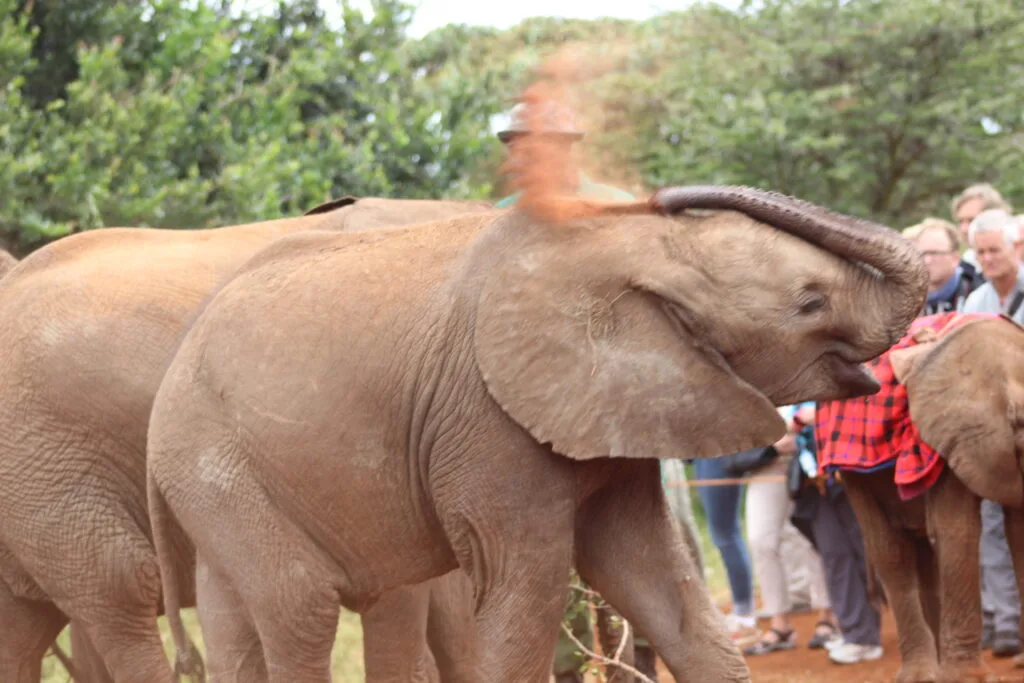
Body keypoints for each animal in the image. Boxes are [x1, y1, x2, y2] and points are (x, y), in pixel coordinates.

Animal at [145, 185, 929, 683]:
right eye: (810, 302)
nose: (671, 194)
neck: (630, 253)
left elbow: (652, 574)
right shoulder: (489, 421)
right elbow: (525, 591)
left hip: (215, 479)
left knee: (234, 618)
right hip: (215, 463)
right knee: (300, 609)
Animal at [828, 312, 1024, 683]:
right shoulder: (955, 431)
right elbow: (957, 530)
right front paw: (970, 680)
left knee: (924, 556)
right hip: (850, 469)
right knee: (891, 551)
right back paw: (922, 675)